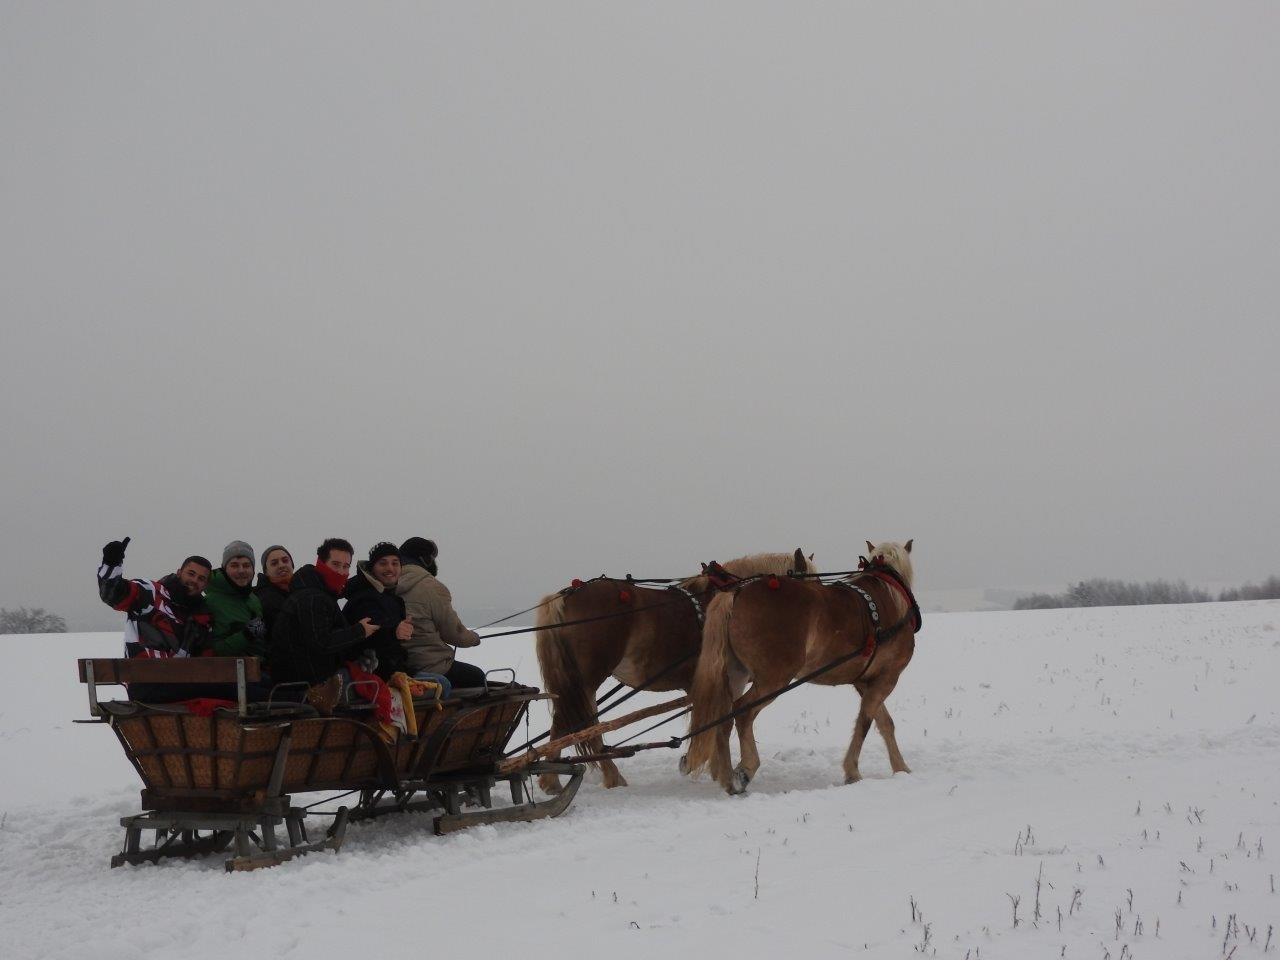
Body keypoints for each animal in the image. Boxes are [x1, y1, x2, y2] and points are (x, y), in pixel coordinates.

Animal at [534, 548, 817, 794]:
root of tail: (567, 596)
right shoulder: (724, 681)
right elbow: (717, 723)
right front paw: (713, 769)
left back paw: (556, 779)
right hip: (587, 677)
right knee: (576, 724)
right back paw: (582, 779)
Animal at [684, 540, 919, 794]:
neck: (891, 597)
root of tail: (736, 594)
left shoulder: (864, 680)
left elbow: (884, 722)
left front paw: (900, 767)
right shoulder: (888, 676)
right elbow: (865, 721)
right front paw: (853, 770)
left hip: (736, 675)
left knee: (724, 718)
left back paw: (728, 777)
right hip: (774, 679)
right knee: (743, 713)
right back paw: (745, 769)